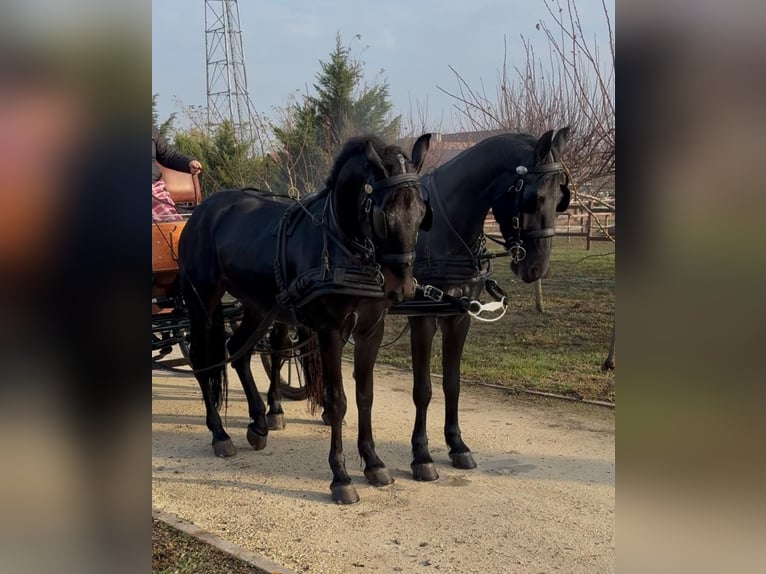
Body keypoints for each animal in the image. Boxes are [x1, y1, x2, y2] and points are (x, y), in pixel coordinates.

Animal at [178, 134, 432, 504]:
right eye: (384, 214)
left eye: (422, 212)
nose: (404, 288)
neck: (341, 245)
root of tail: (203, 211)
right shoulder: (330, 331)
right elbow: (337, 401)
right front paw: (341, 477)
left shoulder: (371, 329)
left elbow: (365, 396)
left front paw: (373, 462)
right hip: (202, 303)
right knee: (203, 359)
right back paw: (220, 434)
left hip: (258, 304)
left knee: (238, 349)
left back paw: (259, 423)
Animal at [404, 127, 572, 481]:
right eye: (533, 197)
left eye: (561, 198)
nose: (536, 269)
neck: (443, 232)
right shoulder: (422, 316)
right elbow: (423, 388)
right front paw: (421, 455)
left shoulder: (459, 316)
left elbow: (452, 384)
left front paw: (457, 445)